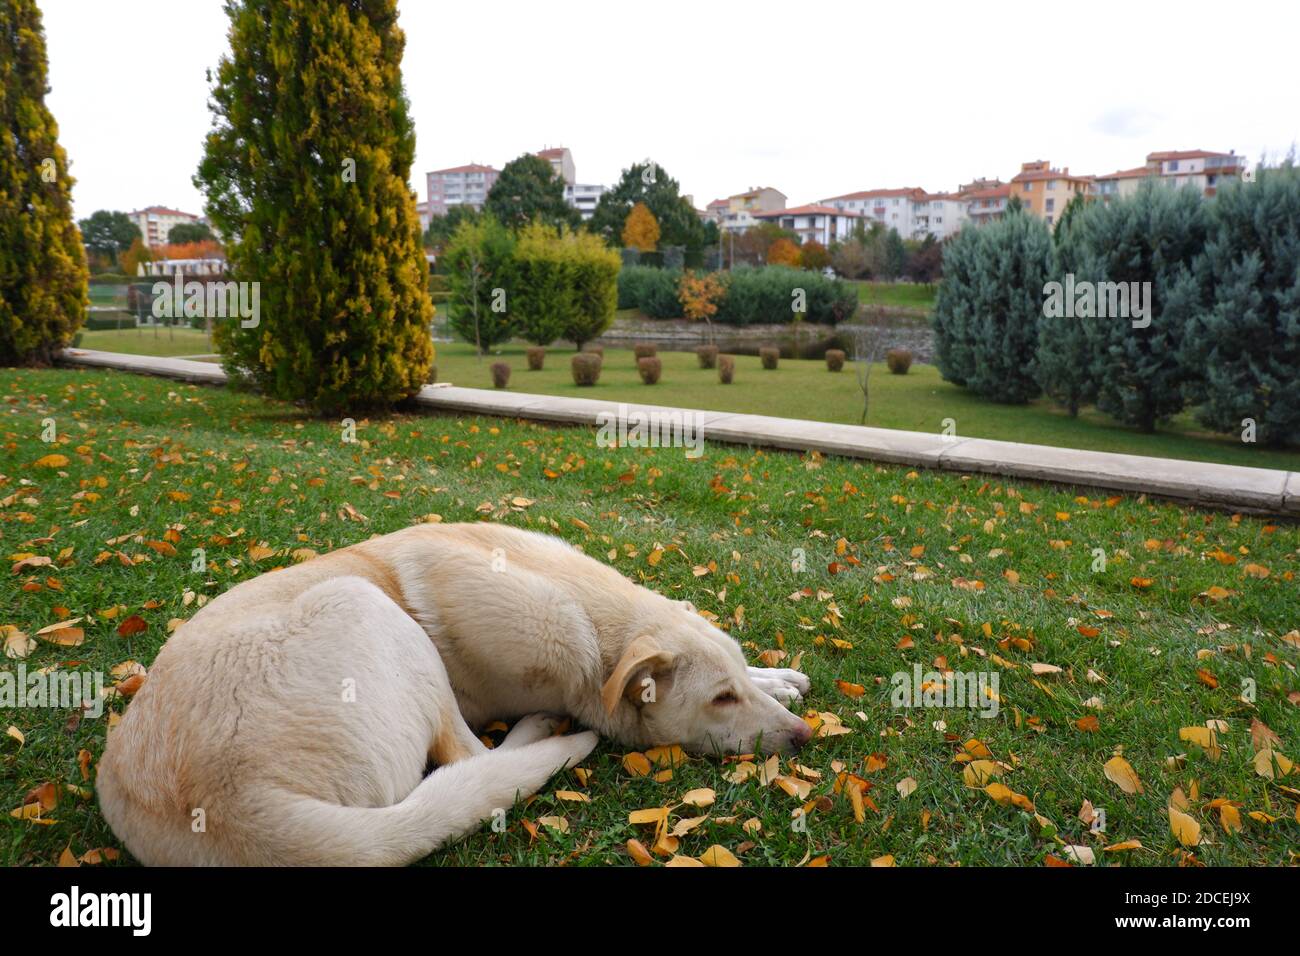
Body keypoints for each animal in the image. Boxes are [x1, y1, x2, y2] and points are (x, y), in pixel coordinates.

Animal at [98, 522, 811, 868]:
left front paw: (780, 679)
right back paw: (544, 731)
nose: (805, 738)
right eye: (720, 700)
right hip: (371, 608)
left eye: (735, 686)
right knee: (475, 760)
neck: (584, 612)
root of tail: (233, 802)